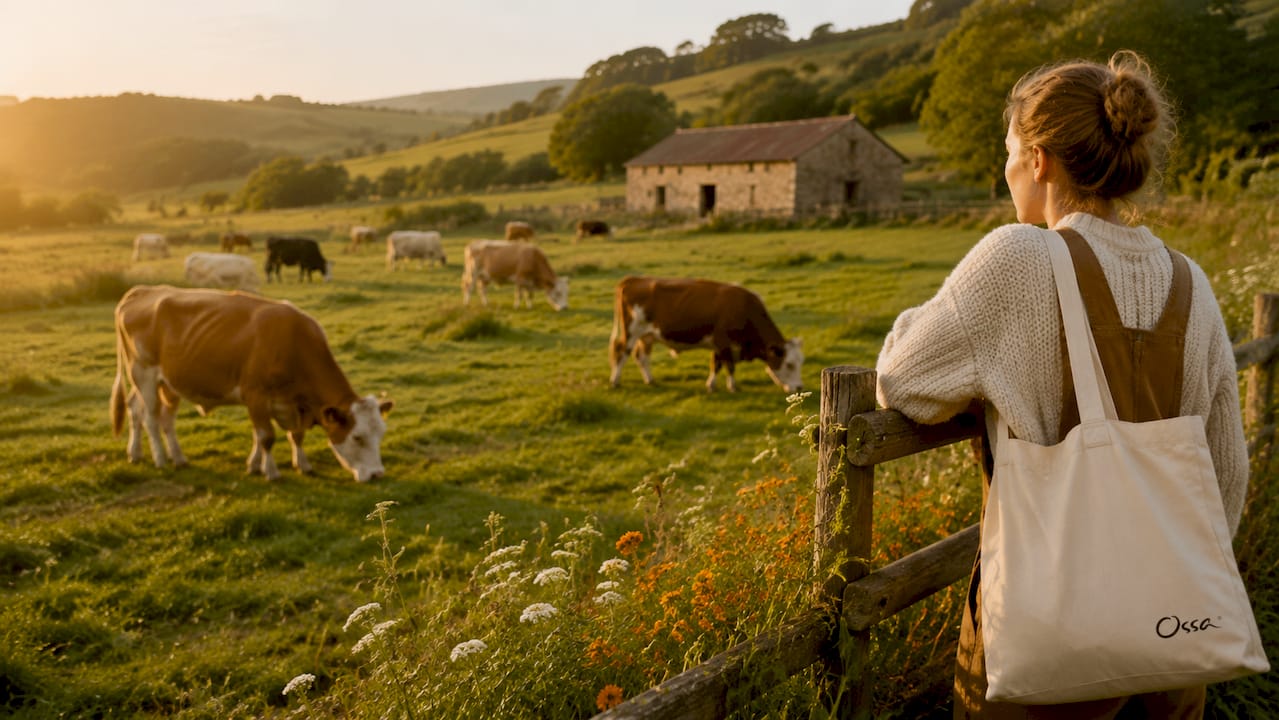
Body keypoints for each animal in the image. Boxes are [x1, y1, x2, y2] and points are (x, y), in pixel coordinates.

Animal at [111, 285, 393, 482]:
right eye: (357, 437)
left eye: (381, 434)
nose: (377, 474)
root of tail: (143, 290)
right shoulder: (256, 395)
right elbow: (266, 437)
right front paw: (271, 472)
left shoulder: (290, 405)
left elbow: (291, 435)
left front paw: (294, 465)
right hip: (143, 373)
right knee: (150, 417)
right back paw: (159, 458)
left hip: (169, 383)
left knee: (148, 414)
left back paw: (156, 455)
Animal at [609, 276, 804, 393]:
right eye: (789, 364)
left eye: (801, 362)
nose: (800, 387)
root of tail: (633, 279)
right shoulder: (723, 342)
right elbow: (729, 365)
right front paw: (732, 386)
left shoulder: (717, 344)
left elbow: (716, 364)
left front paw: (711, 385)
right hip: (631, 331)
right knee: (622, 353)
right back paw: (615, 381)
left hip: (646, 336)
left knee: (641, 357)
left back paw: (650, 380)